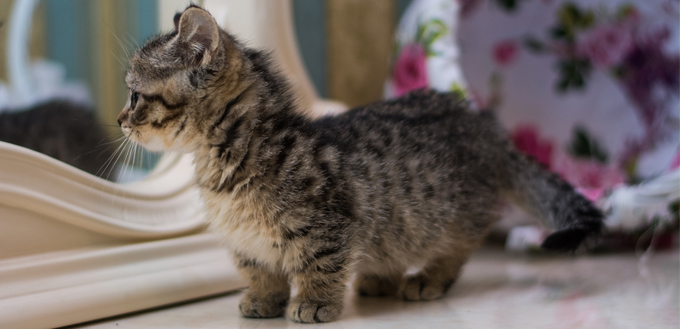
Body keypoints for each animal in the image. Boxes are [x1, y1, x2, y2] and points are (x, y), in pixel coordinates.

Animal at [119, 5, 604, 322]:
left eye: (134, 95)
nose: (121, 120)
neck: (228, 157)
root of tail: (483, 123)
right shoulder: (245, 241)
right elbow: (259, 269)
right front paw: (263, 299)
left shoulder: (328, 225)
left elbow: (319, 264)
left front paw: (315, 302)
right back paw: (379, 278)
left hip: (452, 215)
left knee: (457, 249)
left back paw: (428, 279)